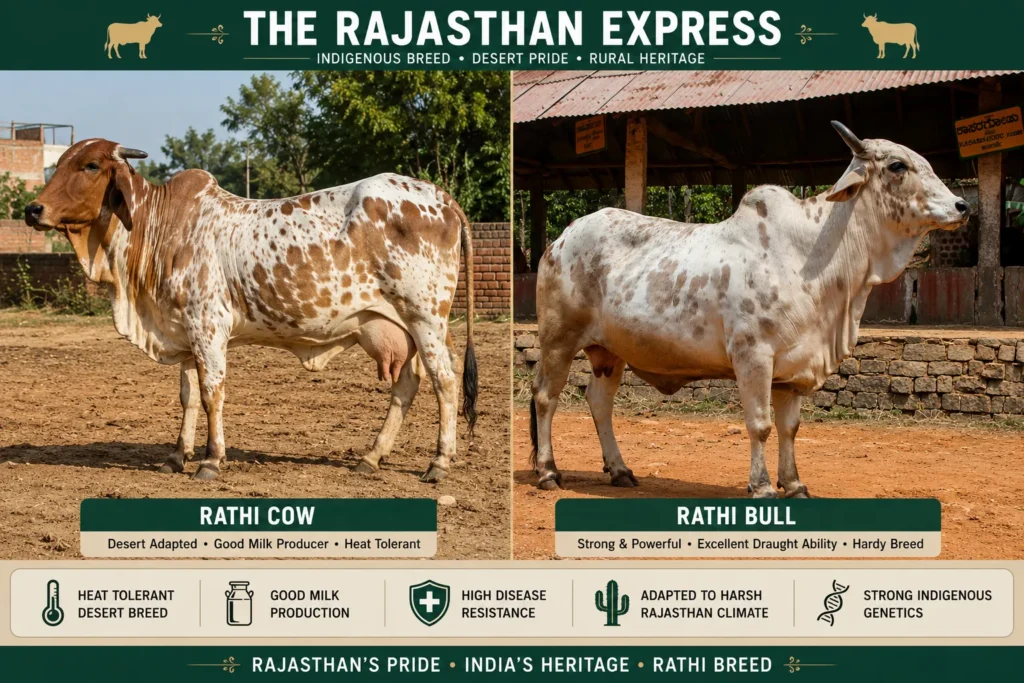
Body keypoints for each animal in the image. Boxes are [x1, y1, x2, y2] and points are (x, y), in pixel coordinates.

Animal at [24, 138, 477, 482]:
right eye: (58, 163)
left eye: (91, 165)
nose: (33, 210)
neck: (159, 229)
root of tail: (440, 196)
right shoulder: (184, 331)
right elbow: (189, 396)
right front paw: (177, 455)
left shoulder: (209, 327)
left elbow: (212, 393)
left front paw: (210, 460)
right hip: (406, 325)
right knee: (408, 383)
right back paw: (371, 457)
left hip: (426, 317)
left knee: (444, 380)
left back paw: (438, 462)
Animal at [529, 122, 969, 498]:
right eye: (897, 166)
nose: (962, 205)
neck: (812, 255)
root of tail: (560, 239)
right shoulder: (752, 357)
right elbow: (760, 425)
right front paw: (761, 486)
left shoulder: (793, 369)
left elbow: (790, 428)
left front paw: (794, 484)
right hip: (558, 339)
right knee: (546, 397)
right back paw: (549, 471)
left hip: (609, 351)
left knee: (599, 402)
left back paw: (619, 470)